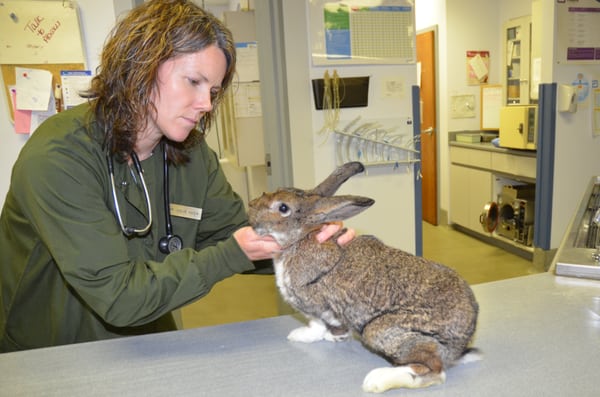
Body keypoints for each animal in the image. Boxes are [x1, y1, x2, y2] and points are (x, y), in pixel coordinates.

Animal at [247, 162, 478, 392]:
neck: (300, 238)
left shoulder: (318, 306)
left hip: (378, 331)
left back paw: (377, 380)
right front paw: (332, 337)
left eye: (282, 208)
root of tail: (464, 337)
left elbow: (317, 325)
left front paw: (308, 336)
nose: (250, 205)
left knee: (435, 371)